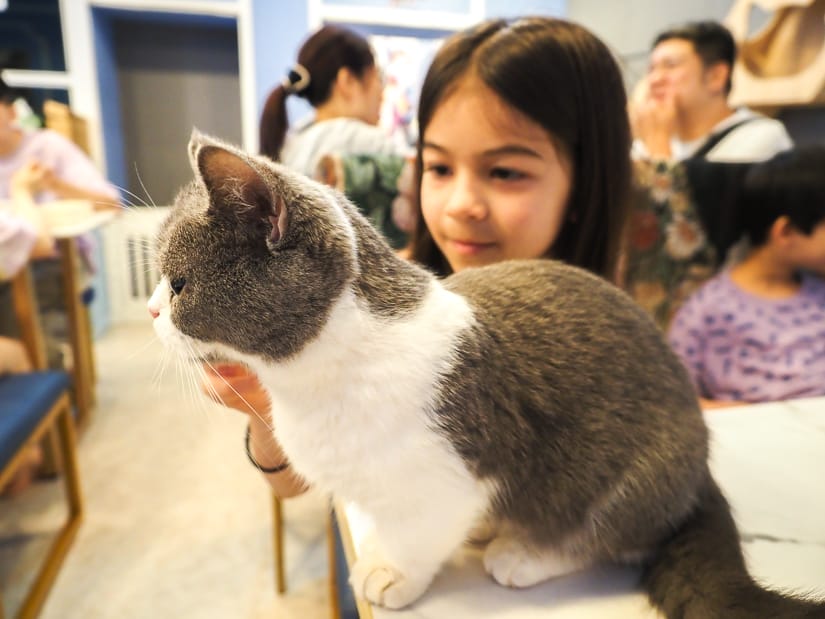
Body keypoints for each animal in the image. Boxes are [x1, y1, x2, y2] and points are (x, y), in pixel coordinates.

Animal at [150, 133, 824, 616]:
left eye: (178, 283)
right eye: (159, 278)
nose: (153, 310)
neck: (310, 380)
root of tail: (700, 465)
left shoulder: (452, 474)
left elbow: (419, 532)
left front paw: (390, 572)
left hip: (631, 470)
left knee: (618, 535)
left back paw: (523, 552)